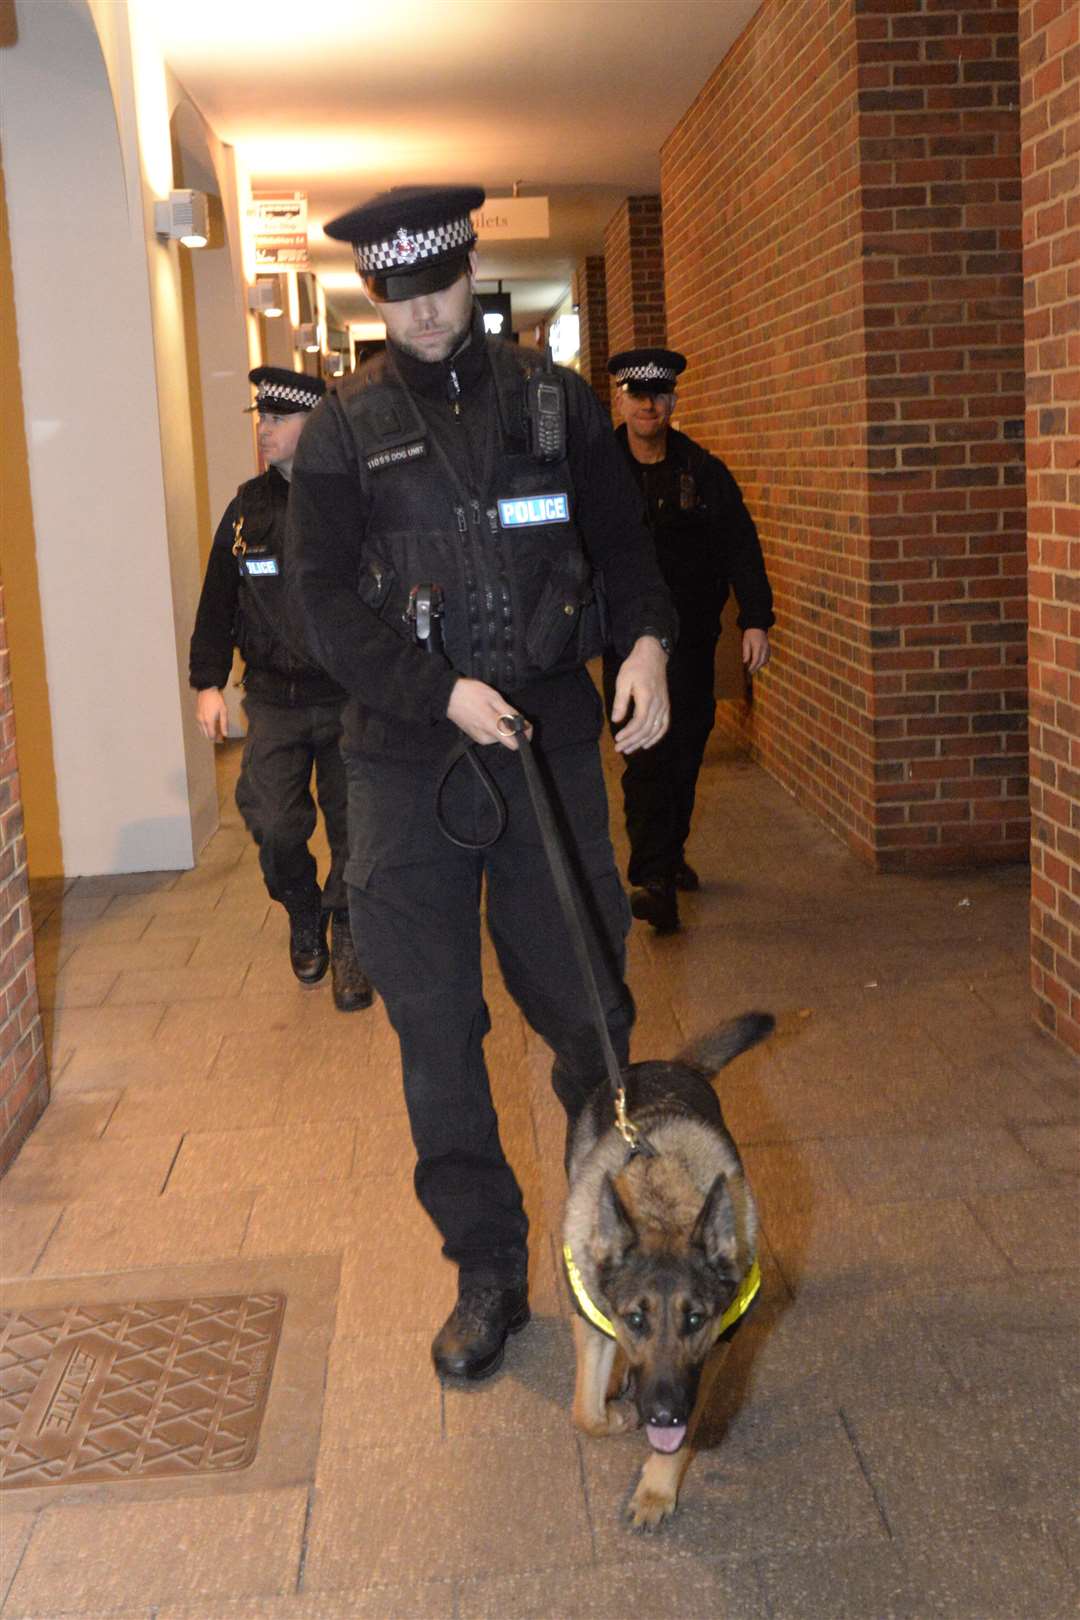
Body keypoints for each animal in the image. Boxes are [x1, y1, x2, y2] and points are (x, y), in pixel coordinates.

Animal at [193, 367, 375, 1010]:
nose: (263, 433)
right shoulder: (229, 531)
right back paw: (311, 930)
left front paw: (345, 951)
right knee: (278, 822)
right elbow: (278, 827)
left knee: (346, 826)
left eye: (277, 414)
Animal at [286, 186, 676, 1380]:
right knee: (440, 1026)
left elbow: (619, 531)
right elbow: (327, 581)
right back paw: (488, 1294)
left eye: (438, 284)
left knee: (575, 1007)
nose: (415, 320)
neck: (446, 386)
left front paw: (644, 683)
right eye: (390, 288)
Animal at [563, 1010, 773, 1529]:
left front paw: (657, 1489)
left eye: (695, 1319)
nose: (659, 1414)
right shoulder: (591, 1318)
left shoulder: (713, 1349)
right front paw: (617, 1415)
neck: (659, 1198)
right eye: (635, 1318)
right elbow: (586, 1414)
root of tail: (666, 1063)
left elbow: (683, 1433)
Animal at [605, 354, 773, 939]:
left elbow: (741, 542)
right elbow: (648, 777)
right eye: (635, 388)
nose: (647, 405)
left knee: (687, 751)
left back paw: (676, 867)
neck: (649, 460)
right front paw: (651, 881)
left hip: (696, 682)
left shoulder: (719, 488)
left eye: (659, 388)